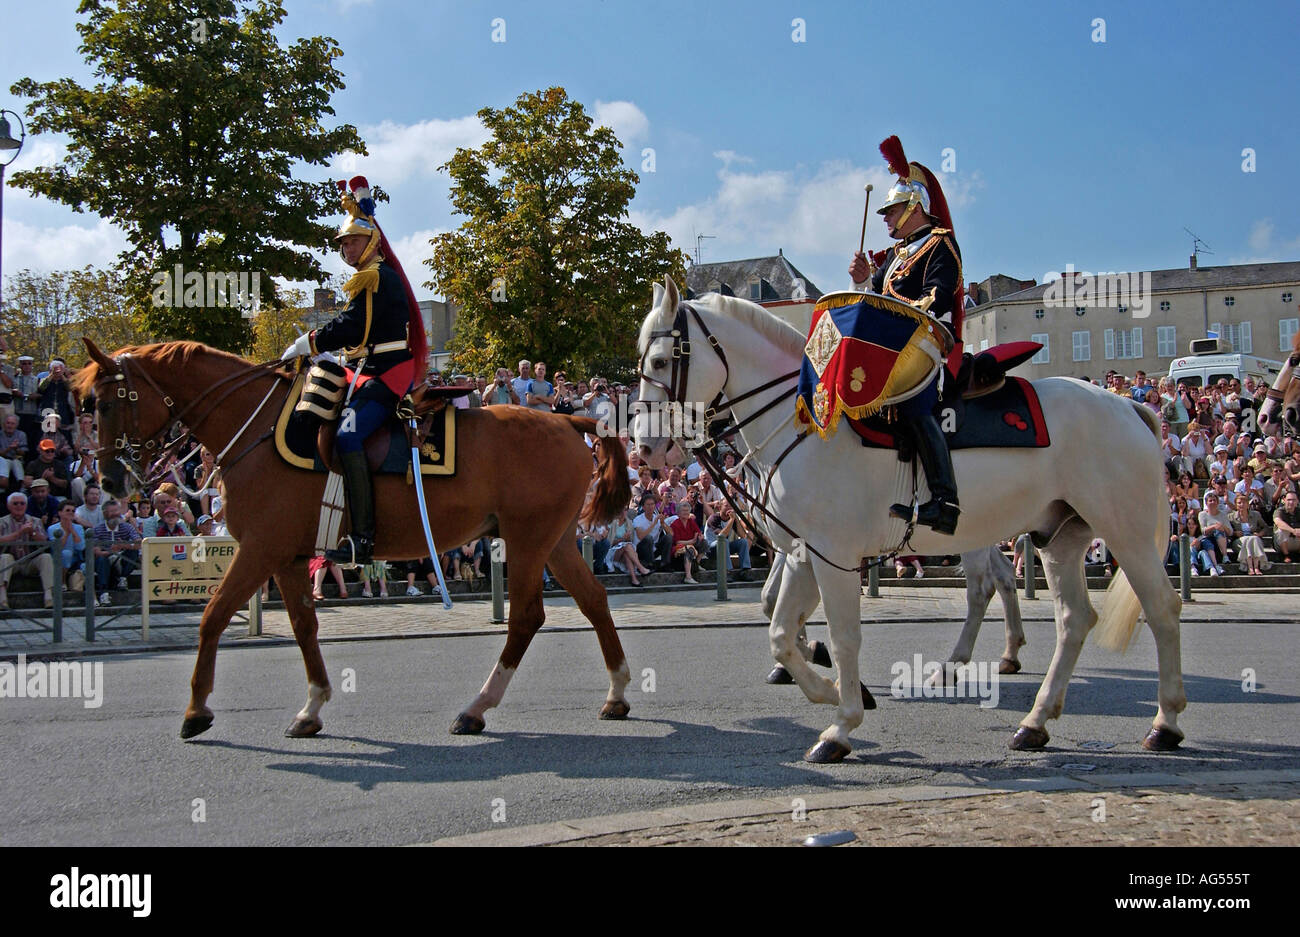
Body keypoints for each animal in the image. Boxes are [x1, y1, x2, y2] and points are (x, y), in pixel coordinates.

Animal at [76, 335, 634, 738]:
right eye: (87, 406)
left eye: (105, 403)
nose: (111, 481)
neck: (257, 428)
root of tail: (569, 421)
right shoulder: (287, 556)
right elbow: (303, 626)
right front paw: (312, 707)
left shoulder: (259, 548)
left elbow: (213, 616)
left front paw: (196, 709)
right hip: (552, 541)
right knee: (593, 599)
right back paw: (616, 693)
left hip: (527, 542)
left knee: (527, 618)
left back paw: (477, 707)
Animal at [634, 275, 1185, 758]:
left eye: (661, 360)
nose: (643, 447)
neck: (805, 420)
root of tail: (1126, 406)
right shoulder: (800, 554)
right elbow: (779, 634)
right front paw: (831, 689)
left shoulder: (831, 557)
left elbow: (843, 636)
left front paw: (841, 723)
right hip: (1059, 537)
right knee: (1070, 617)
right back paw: (1033, 719)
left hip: (1126, 532)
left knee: (1159, 608)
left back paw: (1164, 723)